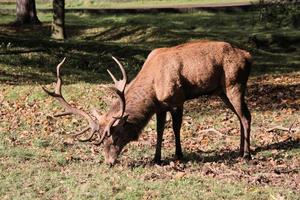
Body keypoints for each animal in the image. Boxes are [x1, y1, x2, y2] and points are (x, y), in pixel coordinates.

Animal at [43, 39, 252, 165]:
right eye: (101, 138)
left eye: (115, 135)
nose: (109, 162)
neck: (153, 90)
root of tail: (248, 56)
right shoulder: (160, 106)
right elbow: (160, 130)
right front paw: (156, 158)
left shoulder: (177, 99)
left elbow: (176, 128)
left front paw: (179, 155)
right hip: (222, 91)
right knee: (240, 116)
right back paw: (240, 150)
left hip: (234, 84)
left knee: (246, 116)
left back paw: (247, 155)